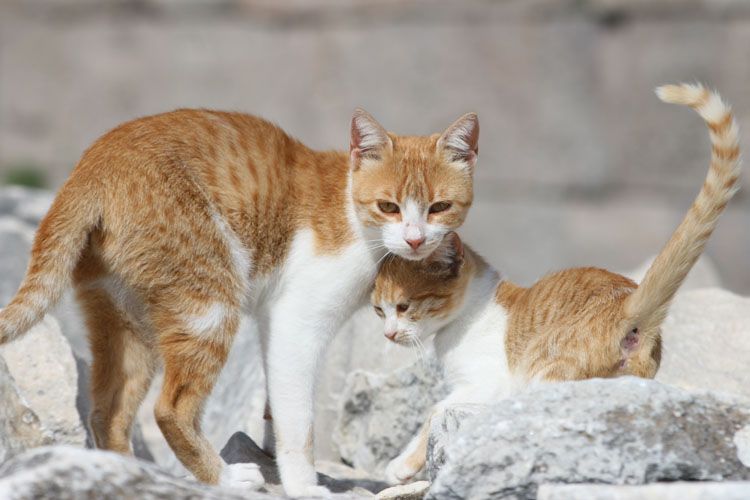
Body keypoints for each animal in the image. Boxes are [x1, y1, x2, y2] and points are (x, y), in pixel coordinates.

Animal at [370, 84, 740, 486]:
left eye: (404, 306)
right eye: (379, 312)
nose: (388, 334)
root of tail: (625, 306)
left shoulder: (485, 384)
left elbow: (434, 412)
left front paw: (402, 465)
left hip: (542, 379)